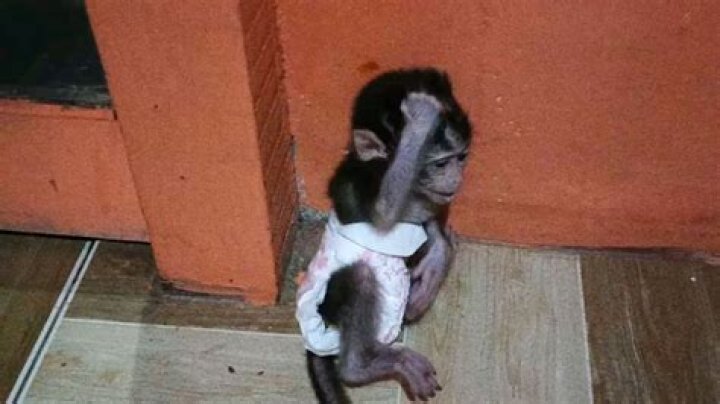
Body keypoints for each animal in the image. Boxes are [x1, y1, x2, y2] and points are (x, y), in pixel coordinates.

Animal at [296, 68, 472, 403]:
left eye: (461, 158)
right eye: (441, 163)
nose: (456, 178)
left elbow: (429, 222)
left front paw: (437, 258)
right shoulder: (364, 183)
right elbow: (383, 214)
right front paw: (419, 120)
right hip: (329, 304)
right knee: (361, 276)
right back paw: (358, 367)